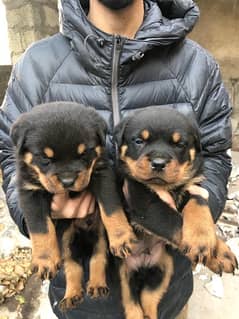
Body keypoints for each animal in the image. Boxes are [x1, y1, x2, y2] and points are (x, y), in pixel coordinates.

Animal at [10, 102, 138, 310]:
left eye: (84, 153)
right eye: (45, 159)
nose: (68, 181)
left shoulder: (102, 174)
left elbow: (111, 209)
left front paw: (121, 238)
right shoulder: (29, 192)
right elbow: (40, 227)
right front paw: (45, 260)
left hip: (100, 236)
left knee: (97, 257)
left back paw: (97, 286)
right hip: (66, 242)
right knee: (72, 267)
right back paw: (71, 295)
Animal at [114, 107, 237, 319]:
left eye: (179, 144)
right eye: (139, 141)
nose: (158, 163)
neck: (167, 187)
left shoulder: (193, 186)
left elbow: (199, 203)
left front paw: (214, 248)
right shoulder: (144, 202)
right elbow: (174, 223)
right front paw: (211, 250)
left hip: (163, 269)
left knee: (149, 301)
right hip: (124, 273)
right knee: (132, 304)